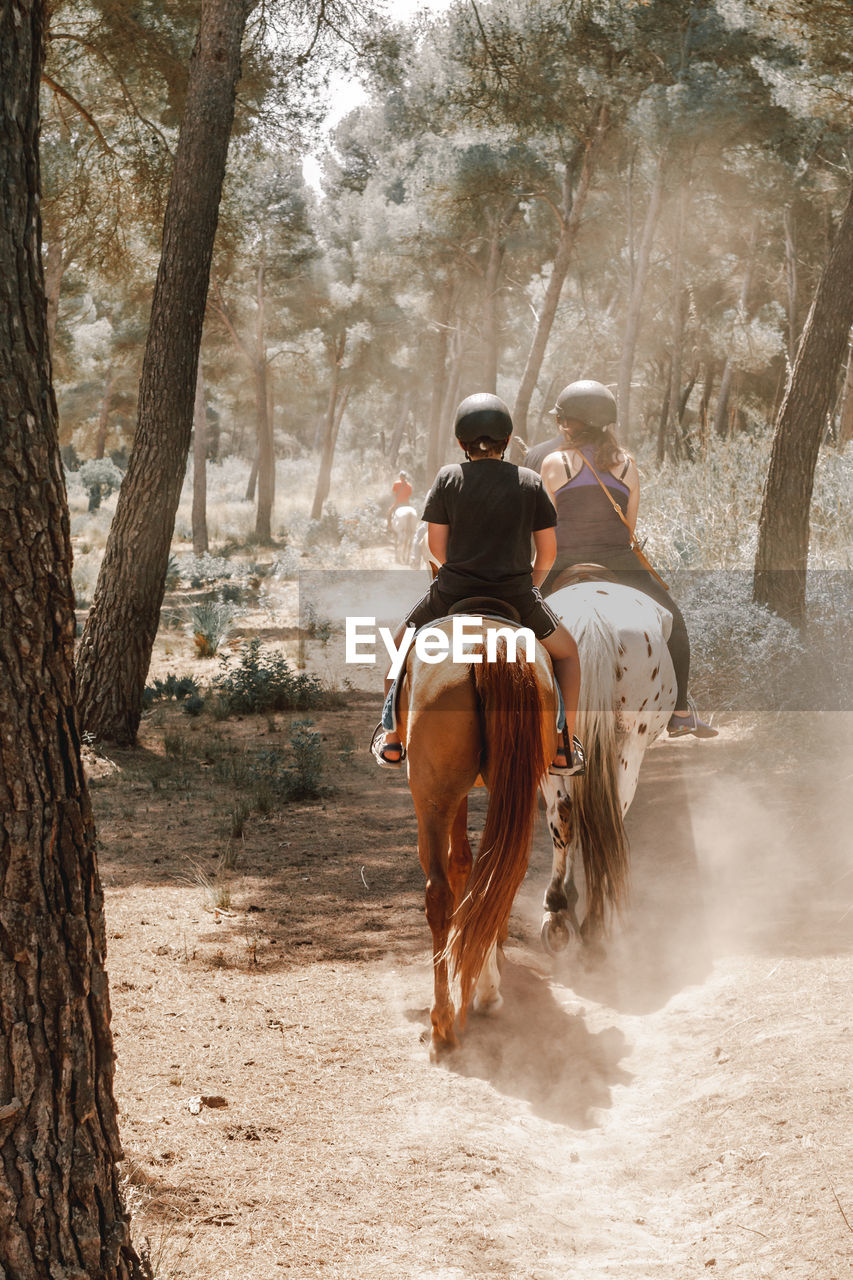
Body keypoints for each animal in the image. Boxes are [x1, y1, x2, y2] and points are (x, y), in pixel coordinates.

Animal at [537, 581, 676, 962]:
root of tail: (593, 618)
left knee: (568, 811)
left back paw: (562, 909)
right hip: (630, 741)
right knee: (598, 811)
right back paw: (587, 918)